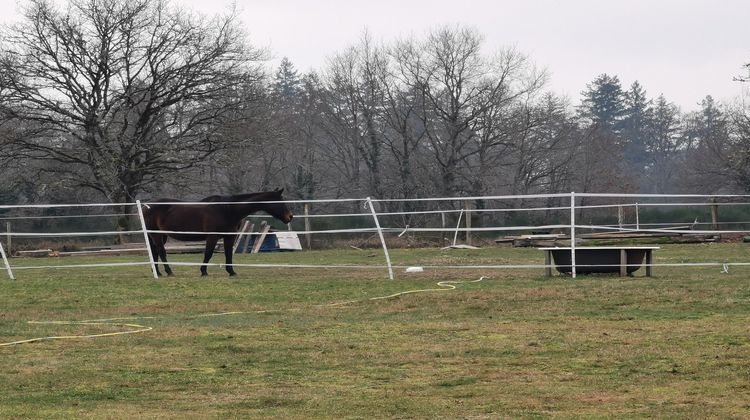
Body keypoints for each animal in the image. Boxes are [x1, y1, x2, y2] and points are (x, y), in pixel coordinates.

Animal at [142, 189, 296, 276]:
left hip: (160, 235)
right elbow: (208, 253)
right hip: (156, 235)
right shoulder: (213, 236)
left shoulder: (229, 237)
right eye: (280, 201)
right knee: (161, 252)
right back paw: (169, 272)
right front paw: (203, 271)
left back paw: (158, 272)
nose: (290, 216)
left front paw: (231, 272)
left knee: (154, 252)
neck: (227, 209)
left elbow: (228, 254)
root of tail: (146, 206)